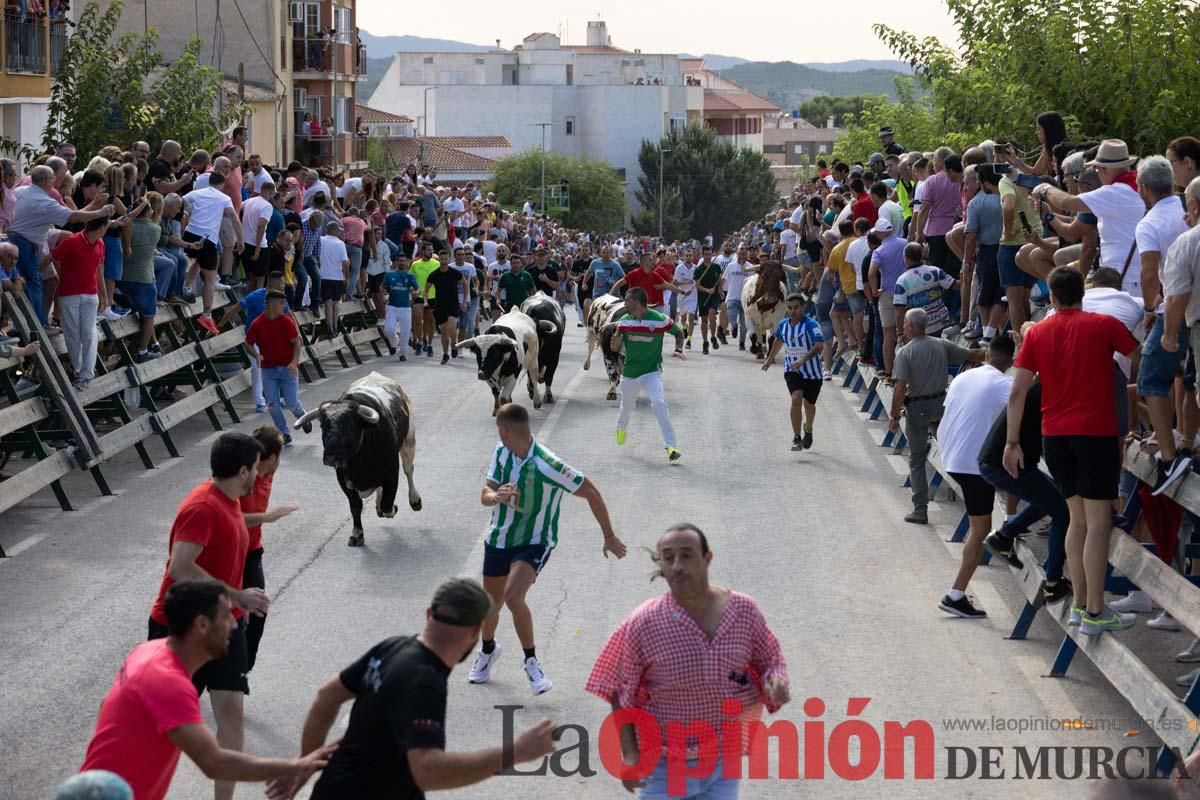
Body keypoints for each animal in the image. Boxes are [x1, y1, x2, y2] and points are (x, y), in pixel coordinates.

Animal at [294, 371, 422, 546]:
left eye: (350, 426)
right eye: (323, 425)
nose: (330, 457)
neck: (360, 462)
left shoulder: (391, 473)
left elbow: (388, 505)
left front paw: (390, 508)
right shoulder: (343, 480)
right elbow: (355, 506)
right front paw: (357, 534)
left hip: (409, 440)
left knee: (409, 470)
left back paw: (415, 500)